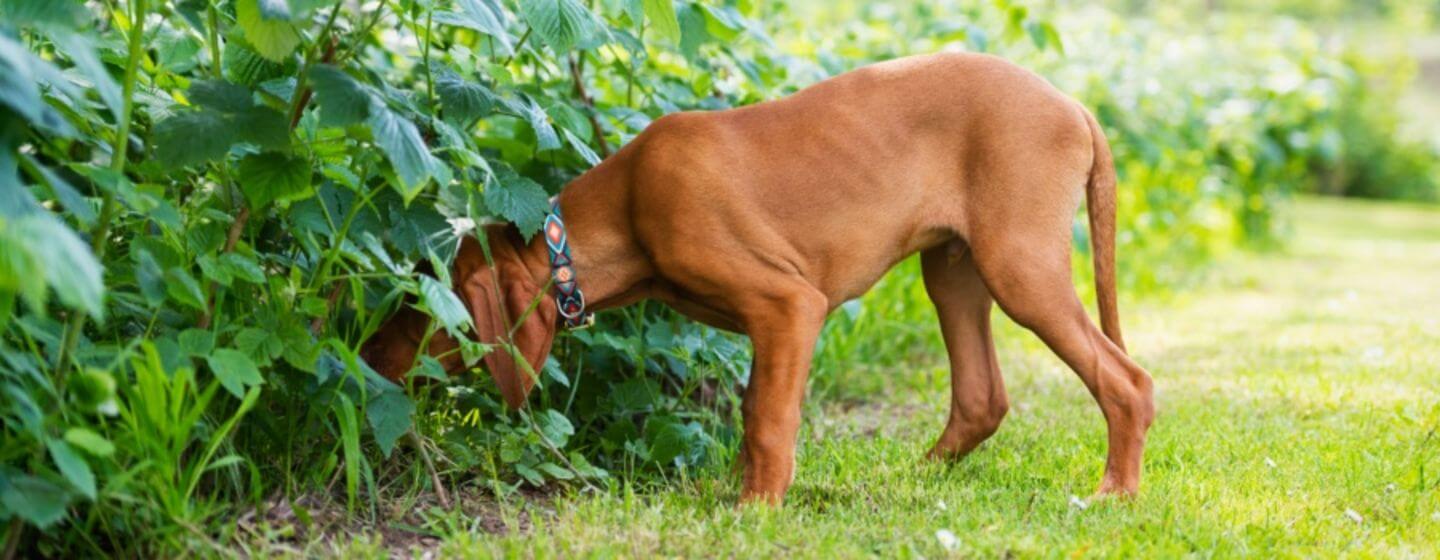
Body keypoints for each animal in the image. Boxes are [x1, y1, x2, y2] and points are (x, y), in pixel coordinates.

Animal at [362, 54, 1157, 503]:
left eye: (420, 310)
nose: (365, 358)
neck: (623, 207)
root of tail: (1072, 104)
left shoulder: (788, 305)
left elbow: (769, 421)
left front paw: (755, 511)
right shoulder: (768, 324)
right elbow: (752, 413)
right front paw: (750, 495)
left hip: (1018, 264)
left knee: (1127, 381)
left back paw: (1113, 494)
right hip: (955, 269)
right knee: (982, 397)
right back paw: (908, 480)